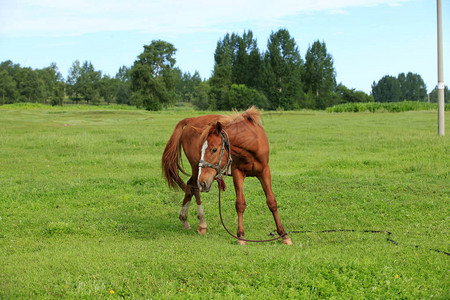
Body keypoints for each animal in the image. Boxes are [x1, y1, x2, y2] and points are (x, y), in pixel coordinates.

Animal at [161, 106, 292, 245]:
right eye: (201, 149)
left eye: (214, 149)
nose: (203, 182)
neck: (251, 144)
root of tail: (191, 119)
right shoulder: (237, 173)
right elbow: (240, 204)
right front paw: (241, 236)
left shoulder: (264, 172)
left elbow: (272, 202)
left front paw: (284, 235)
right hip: (196, 169)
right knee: (195, 188)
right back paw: (202, 223)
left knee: (190, 186)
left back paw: (184, 219)